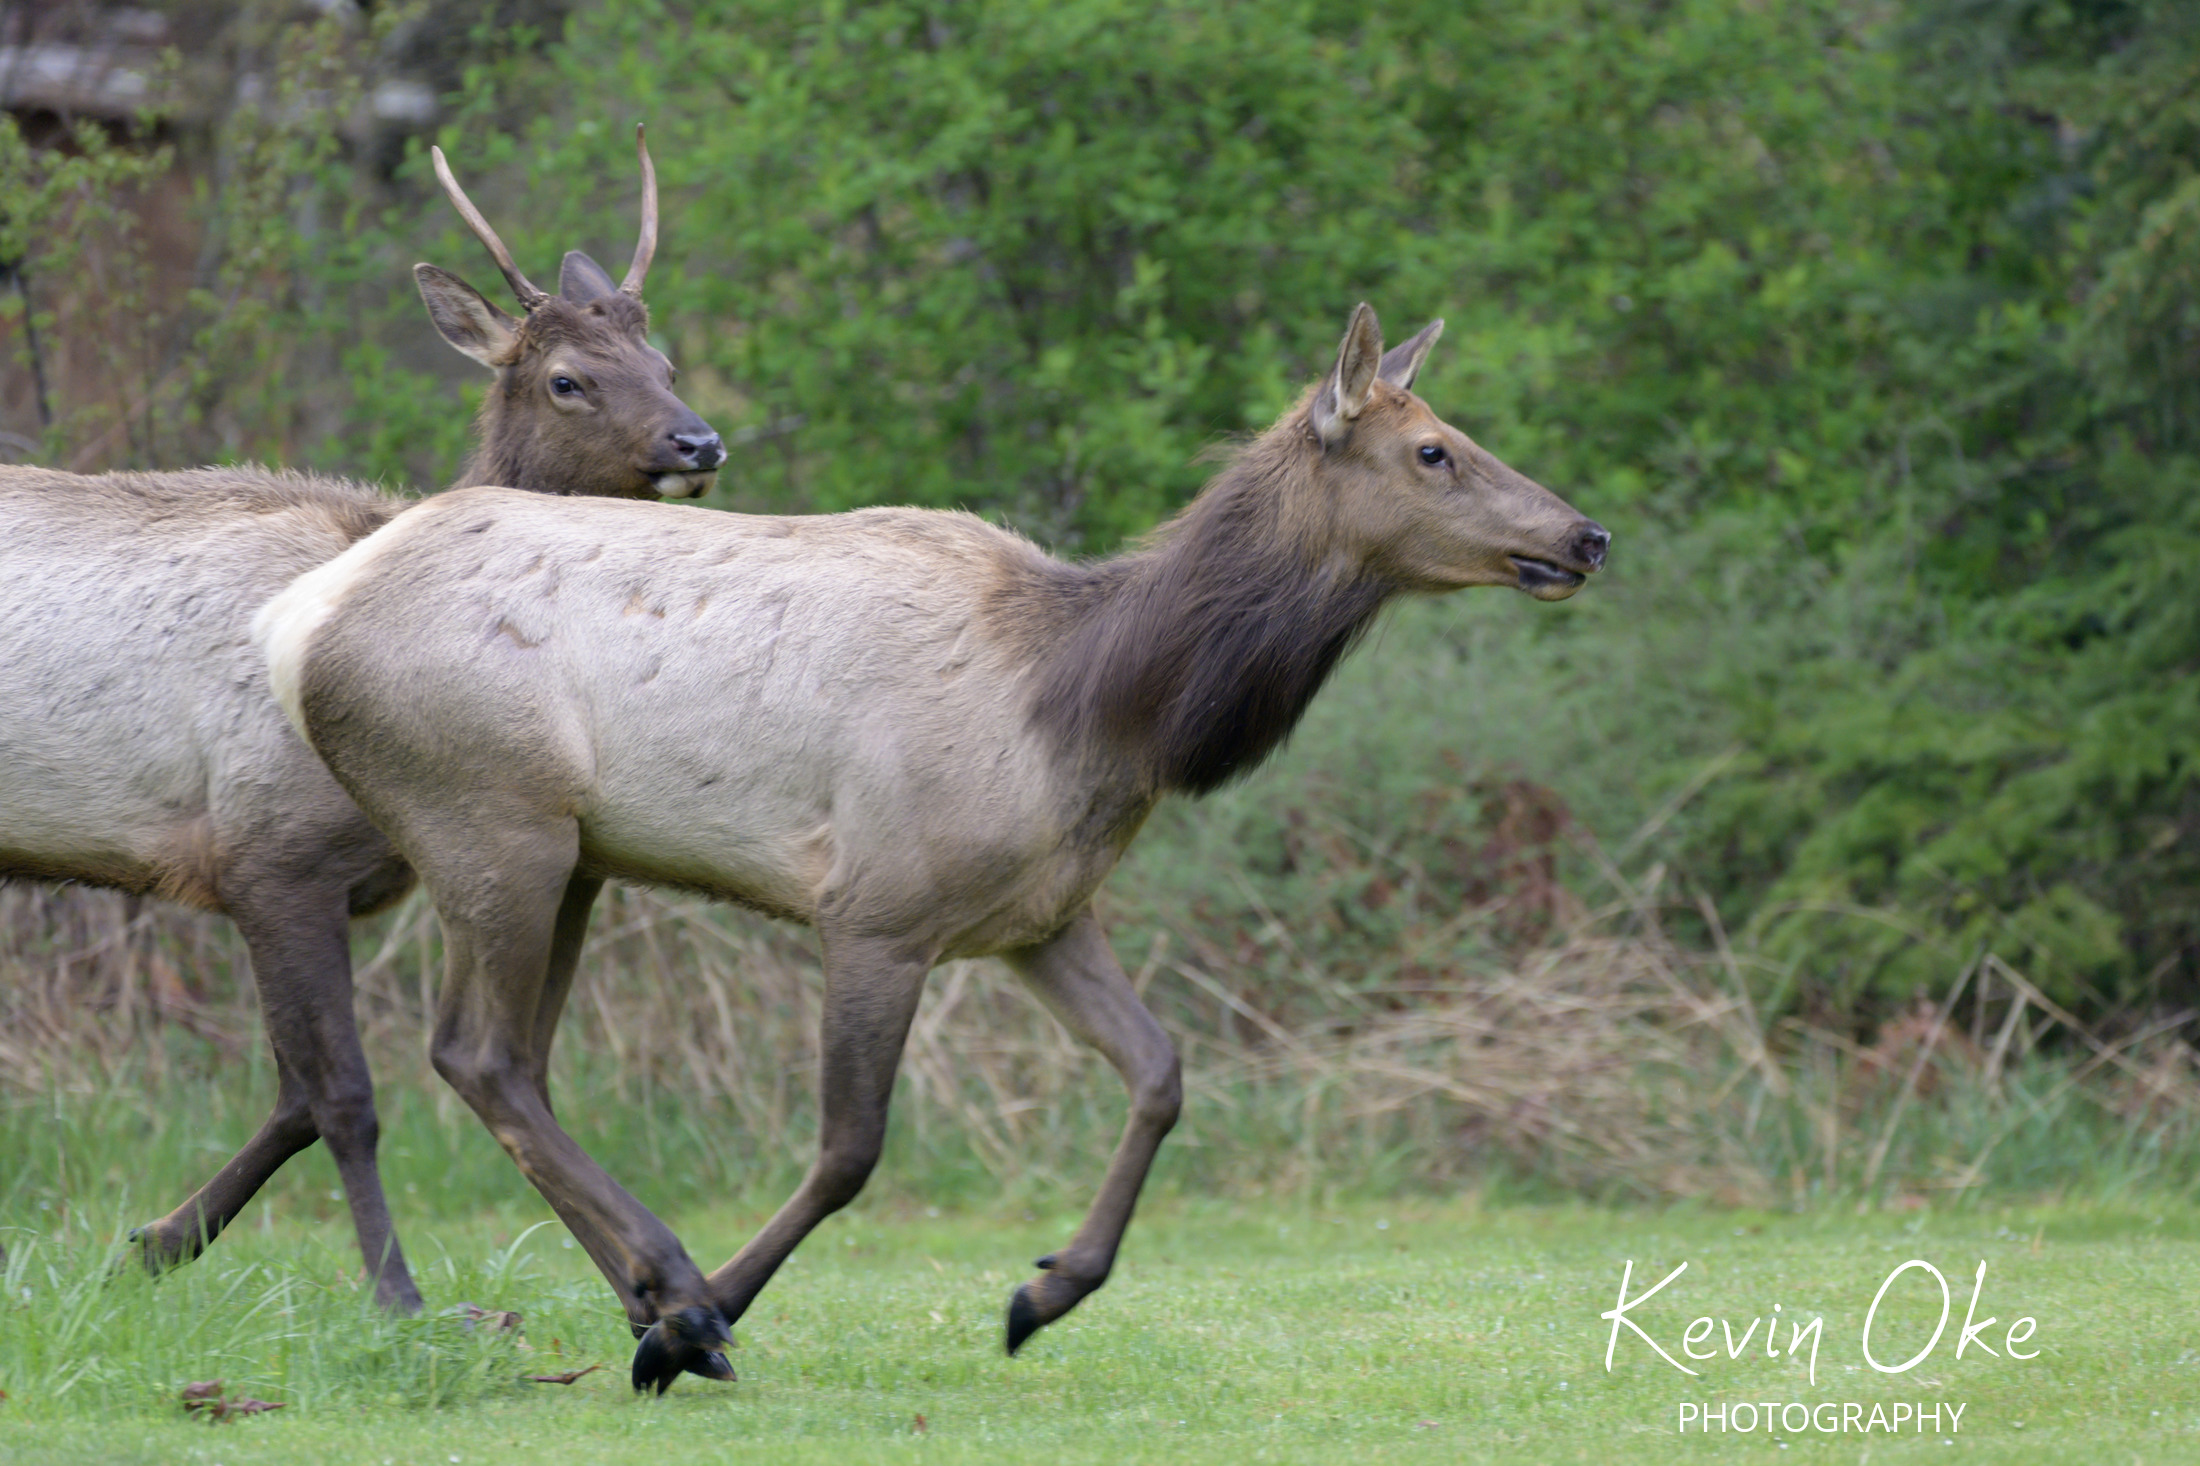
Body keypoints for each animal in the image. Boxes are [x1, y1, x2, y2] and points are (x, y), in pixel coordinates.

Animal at [0, 128, 718, 1310]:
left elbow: (292, 1097)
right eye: (567, 379)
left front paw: (152, 1242)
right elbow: (342, 1094)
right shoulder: (266, 851)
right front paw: (401, 1296)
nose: (699, 441)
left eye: (663, 365)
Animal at [257, 303, 1610, 1390]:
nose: (1585, 534)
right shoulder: (877, 908)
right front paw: (707, 1317)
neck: (1096, 710)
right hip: (494, 822)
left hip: (573, 856)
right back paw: (676, 1297)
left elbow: (1161, 1071)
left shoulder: (1040, 914)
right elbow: (851, 1148)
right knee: (478, 1053)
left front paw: (1045, 1288)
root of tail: (298, 621)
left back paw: (649, 1292)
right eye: (1432, 448)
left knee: (508, 1063)